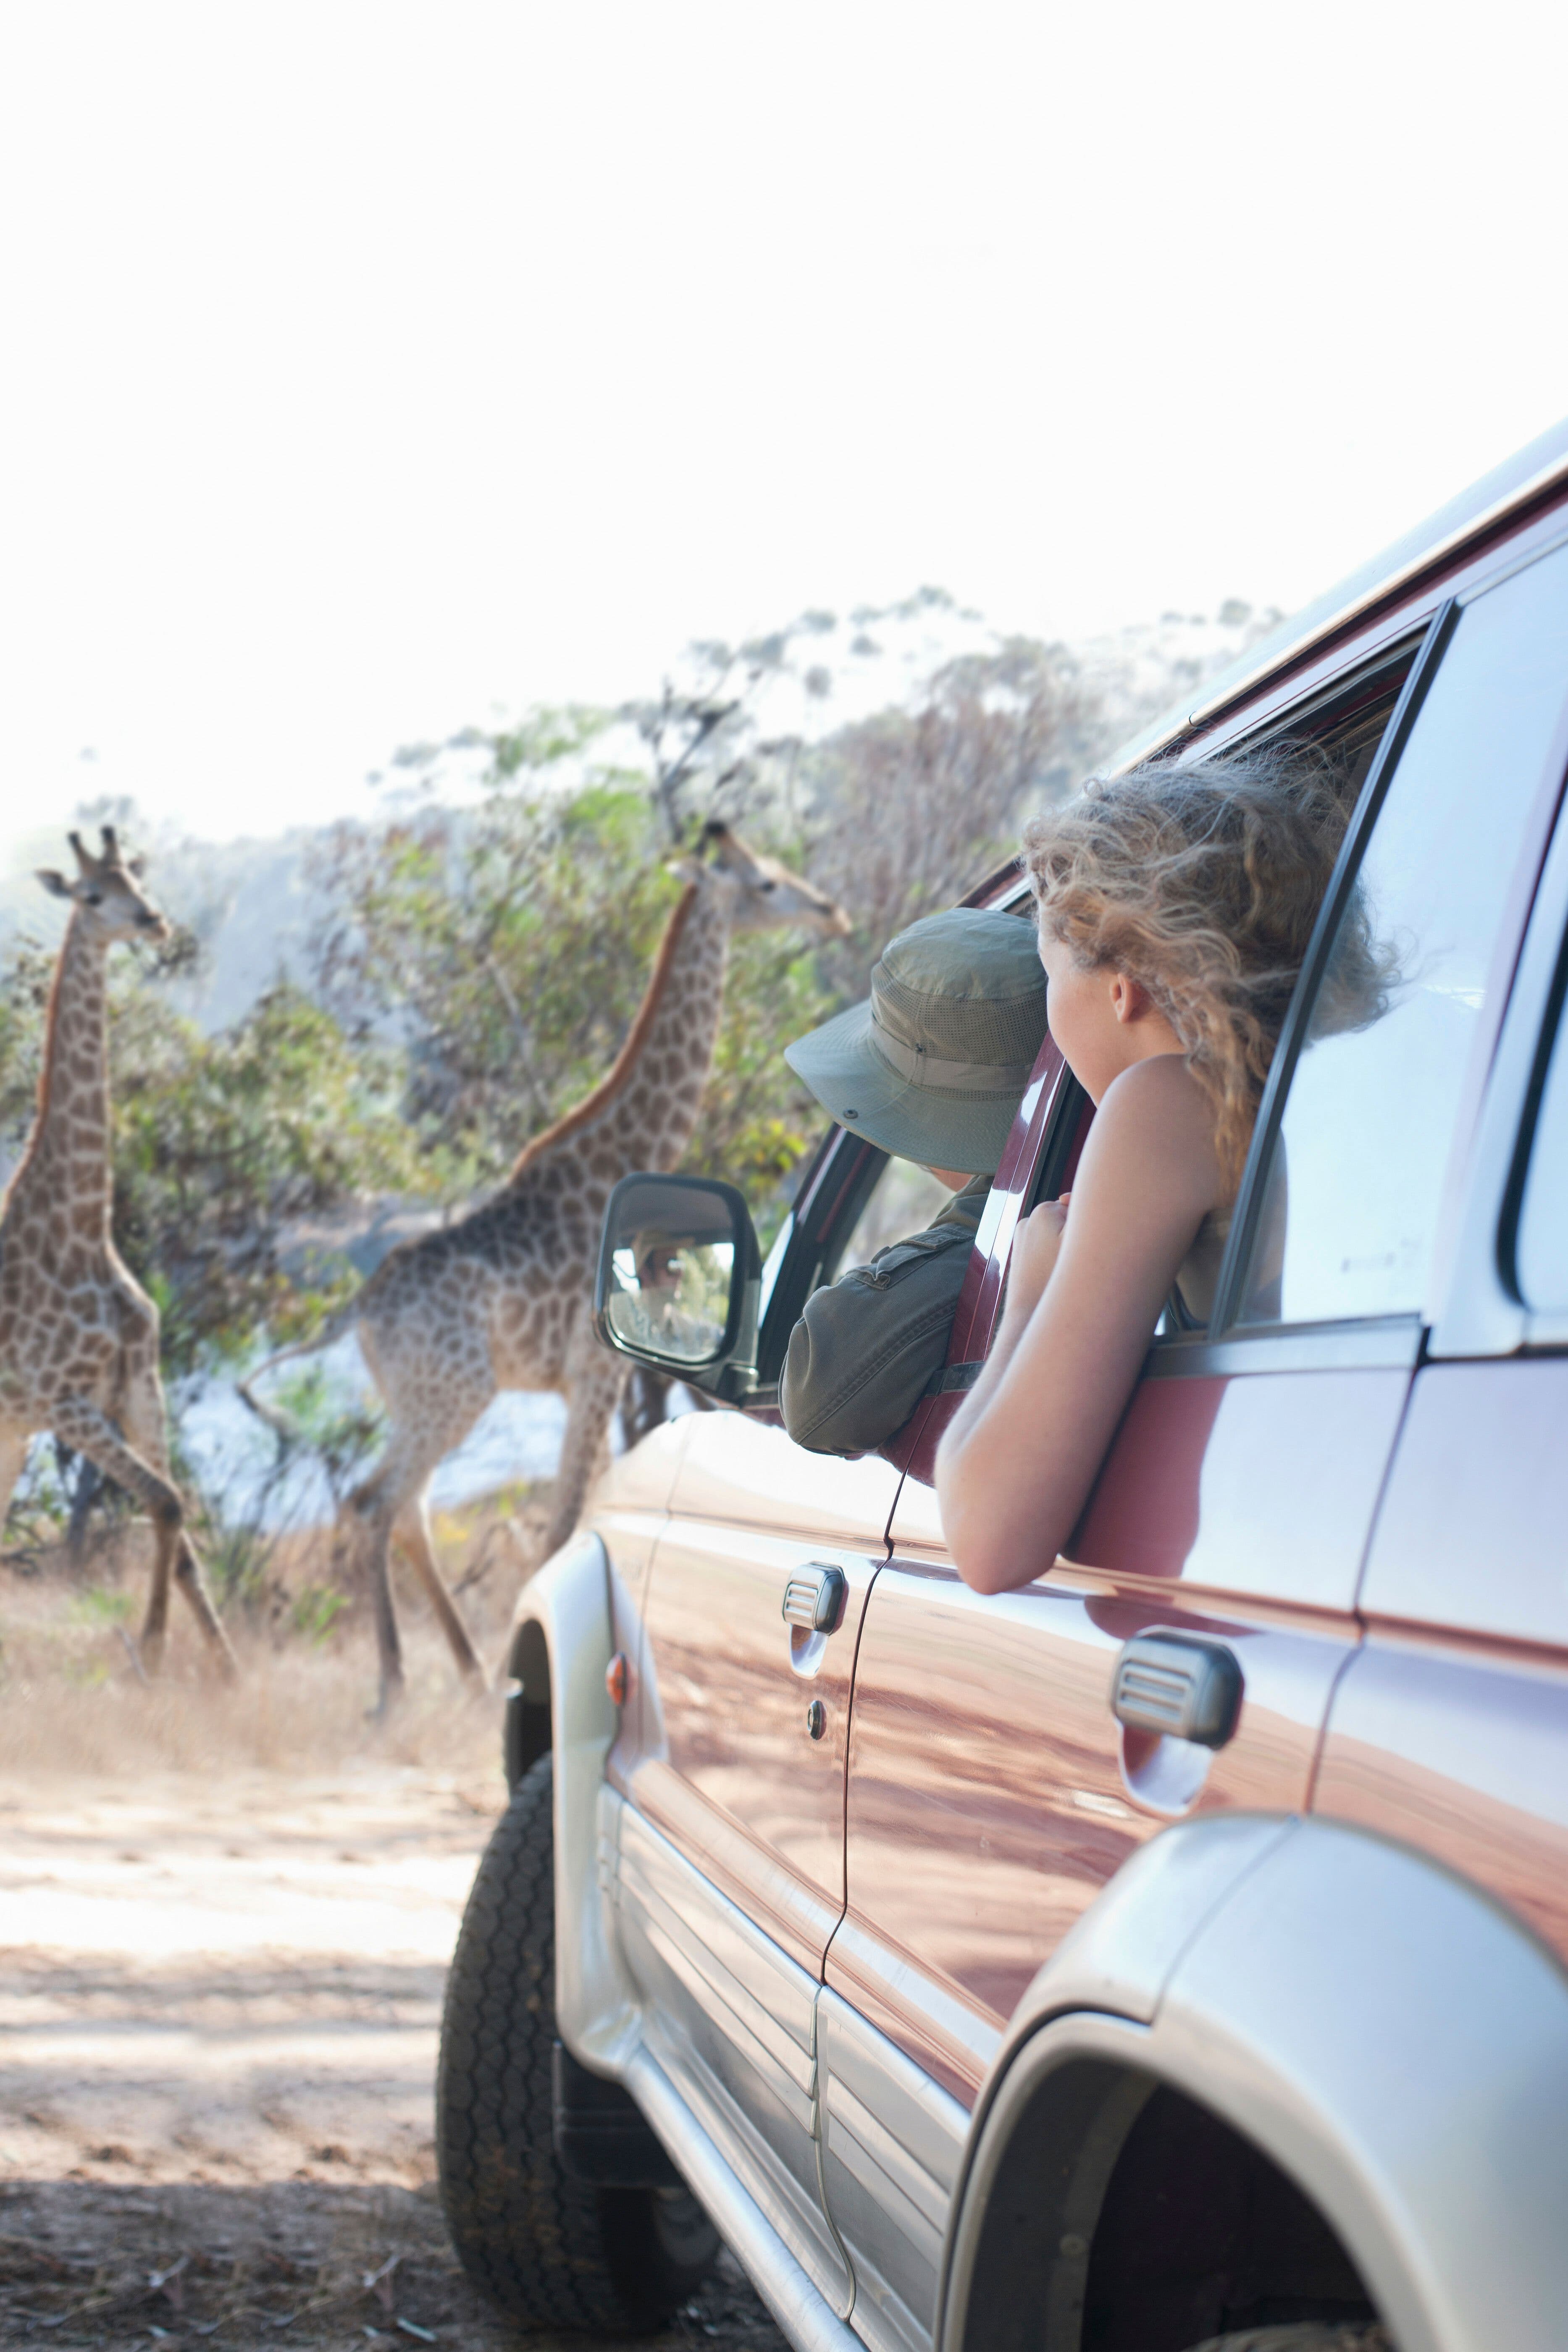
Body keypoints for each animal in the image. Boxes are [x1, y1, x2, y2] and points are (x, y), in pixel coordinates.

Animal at [0, 829, 239, 1679]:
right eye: (92, 895)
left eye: (137, 877)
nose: (155, 922)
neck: (85, 1228)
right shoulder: (63, 1400)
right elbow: (164, 1502)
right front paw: (154, 1651)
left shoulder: (140, 1386)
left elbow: (181, 1526)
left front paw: (227, 1672)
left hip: (10, 1432)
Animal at [242, 822, 850, 1708]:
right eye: (766, 882)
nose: (832, 910)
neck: (620, 1157)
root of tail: (360, 1311)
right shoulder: (597, 1372)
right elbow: (562, 1527)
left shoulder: (583, 1383)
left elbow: (567, 1520)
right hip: (456, 1392)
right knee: (377, 1502)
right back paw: (394, 1684)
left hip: (423, 1396)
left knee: (404, 1506)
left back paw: (462, 1668)